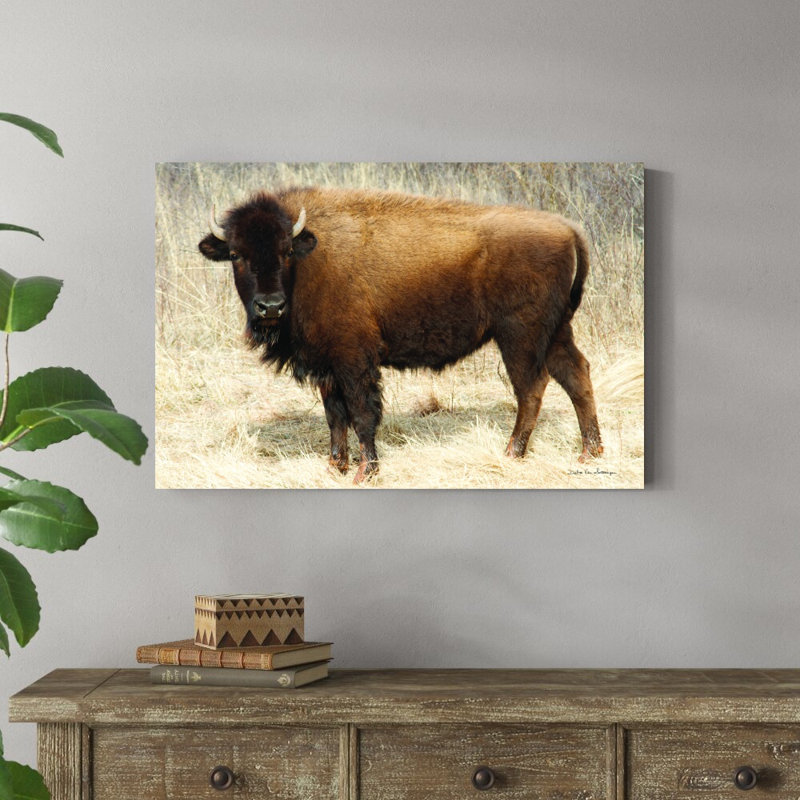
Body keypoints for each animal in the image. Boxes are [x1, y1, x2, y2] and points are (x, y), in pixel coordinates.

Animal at [199, 187, 602, 483]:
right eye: (235, 253)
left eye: (285, 252)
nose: (270, 307)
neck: (309, 259)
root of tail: (567, 228)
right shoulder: (326, 364)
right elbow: (335, 416)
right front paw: (335, 466)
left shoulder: (353, 360)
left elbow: (362, 413)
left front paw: (365, 472)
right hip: (556, 332)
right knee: (576, 375)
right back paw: (589, 453)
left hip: (520, 336)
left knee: (532, 387)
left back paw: (513, 453)